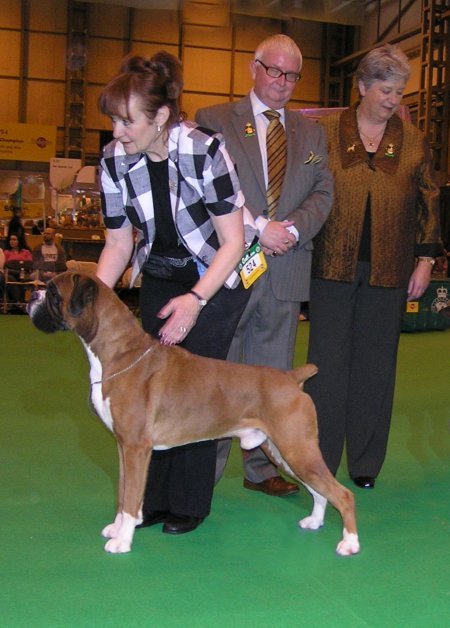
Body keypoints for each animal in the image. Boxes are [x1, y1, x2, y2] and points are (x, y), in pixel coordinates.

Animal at [28, 272, 360, 556]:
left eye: (54, 292)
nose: (33, 294)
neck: (121, 353)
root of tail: (291, 377)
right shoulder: (124, 448)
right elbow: (123, 494)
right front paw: (117, 528)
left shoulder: (136, 449)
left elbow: (132, 498)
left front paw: (122, 542)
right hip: (284, 453)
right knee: (320, 491)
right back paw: (314, 521)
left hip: (297, 449)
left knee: (342, 493)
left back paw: (350, 544)